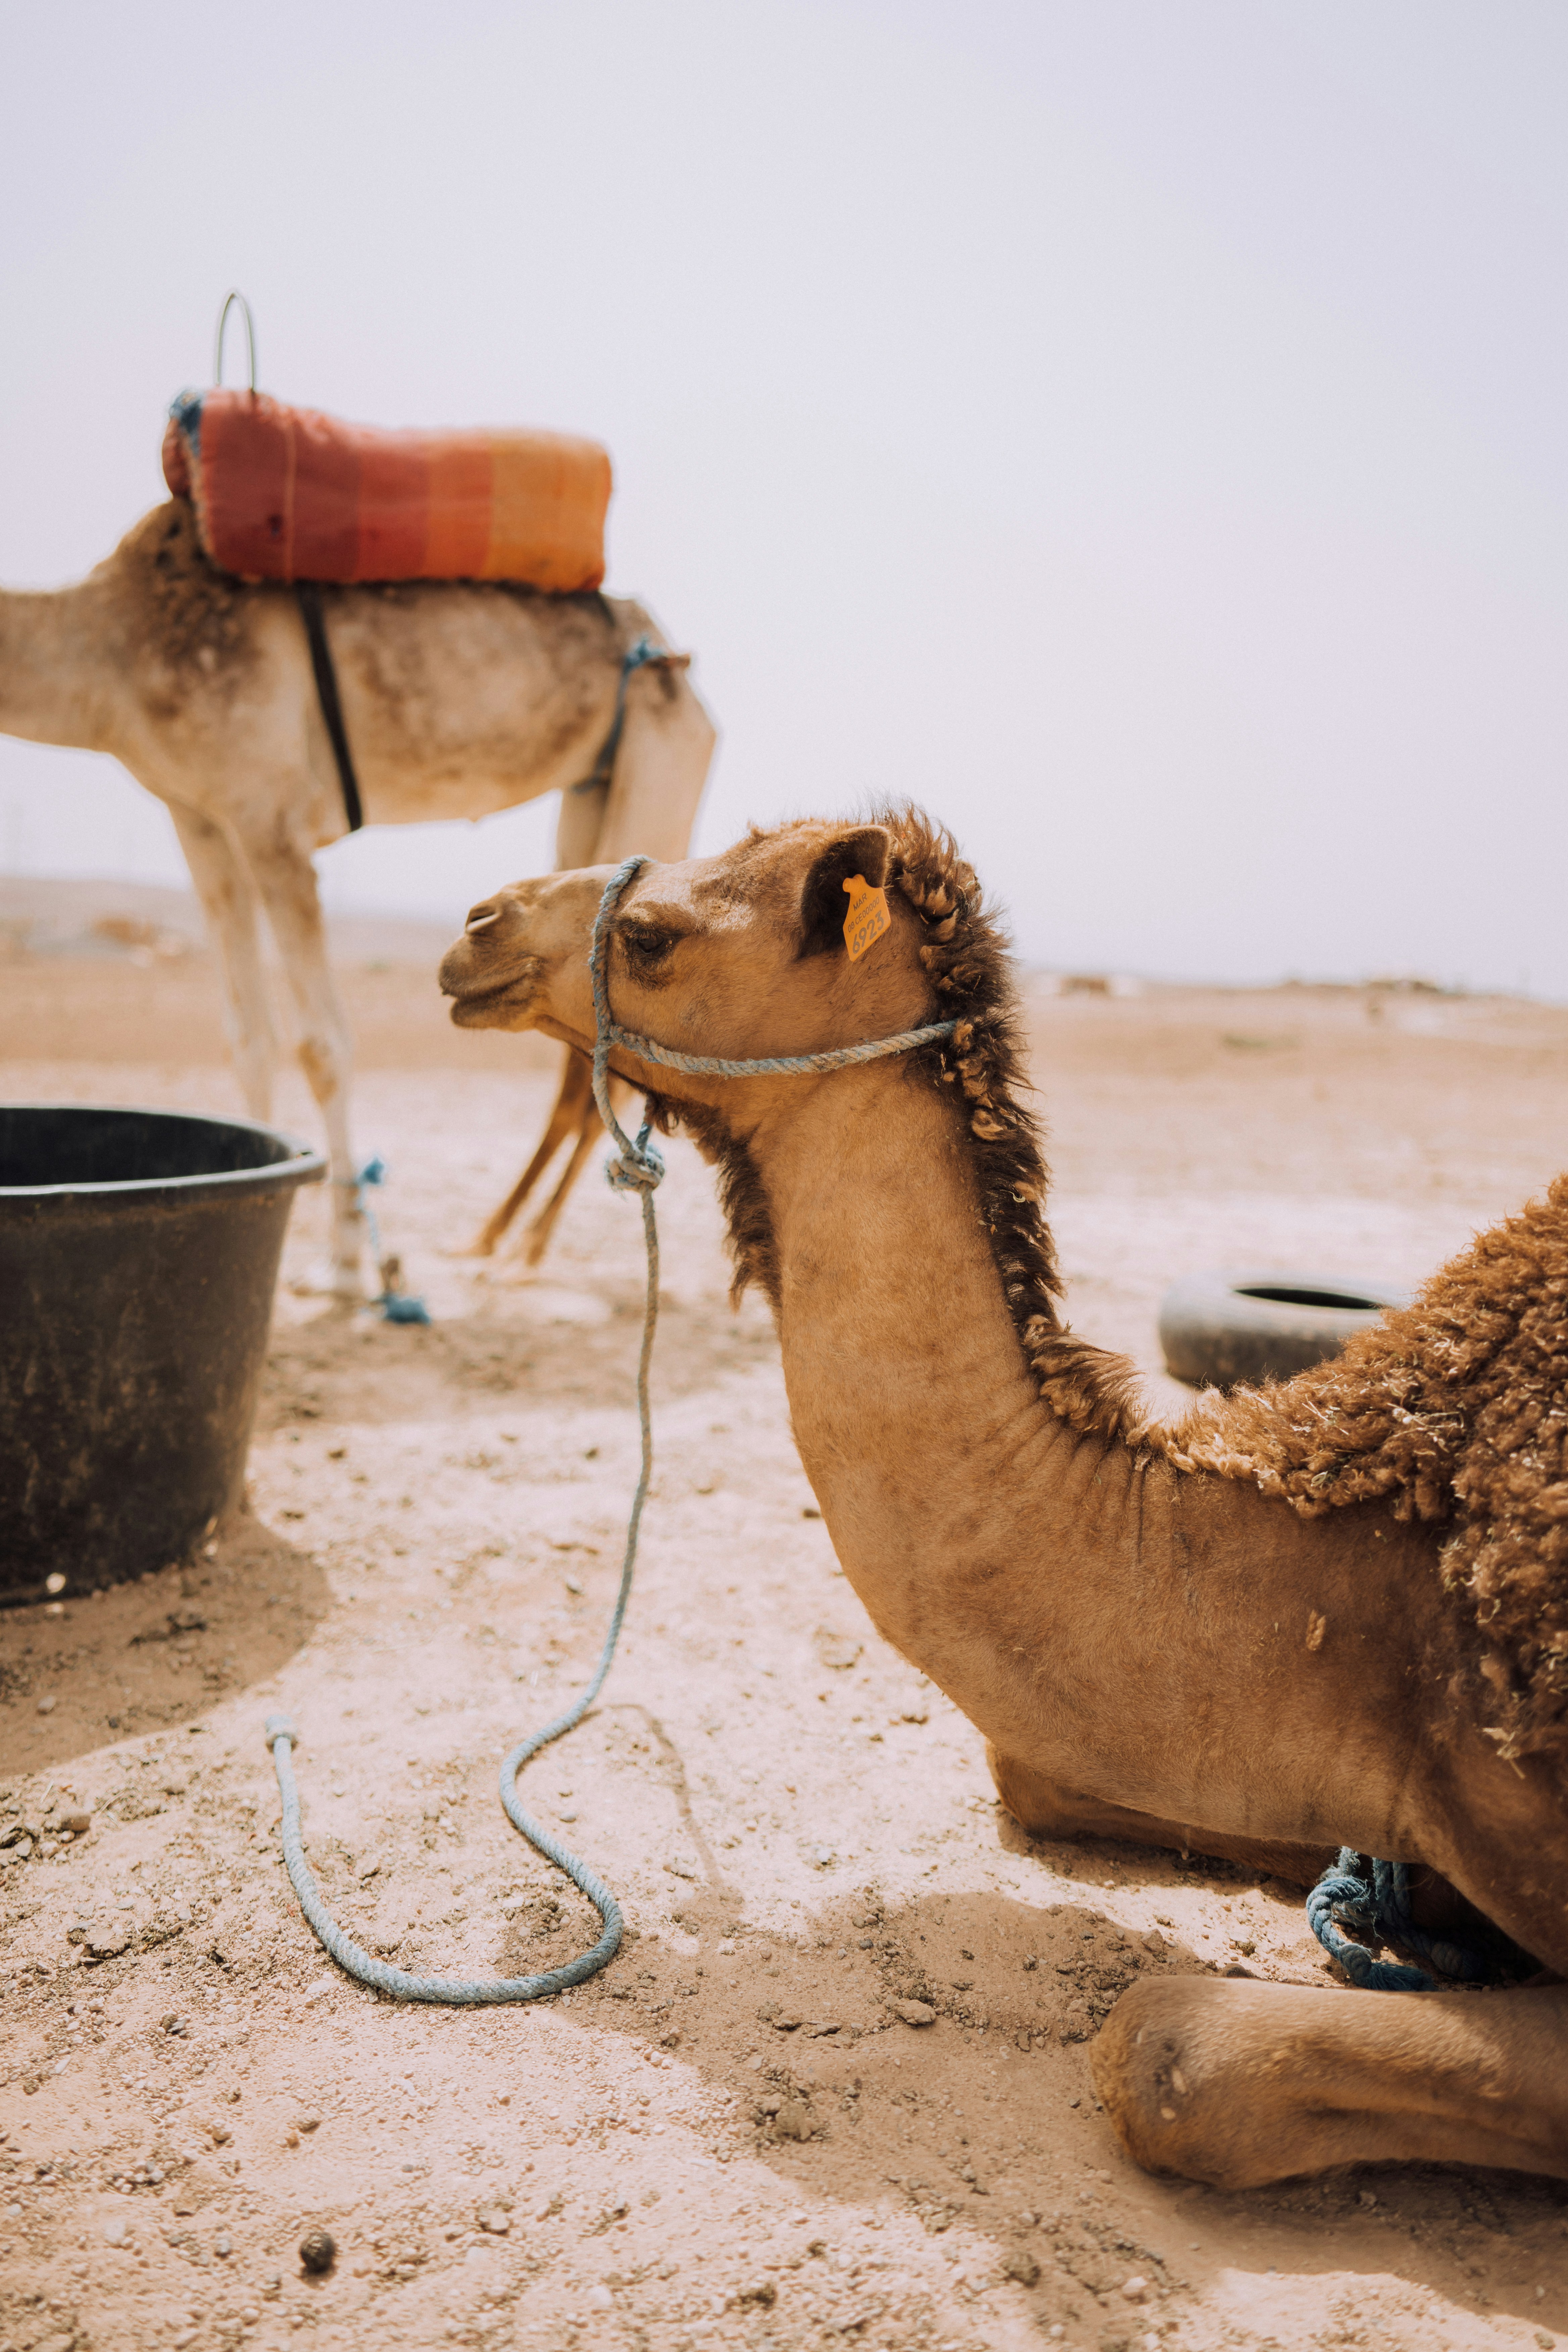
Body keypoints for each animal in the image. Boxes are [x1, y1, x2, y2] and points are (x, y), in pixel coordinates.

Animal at [0, 498, 710, 1298]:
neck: (113, 643)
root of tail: (671, 657)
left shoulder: (269, 817)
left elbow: (320, 1045)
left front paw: (342, 1265)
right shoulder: (201, 819)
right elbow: (247, 1039)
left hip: (659, 765)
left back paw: (521, 1250)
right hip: (592, 797)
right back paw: (492, 1240)